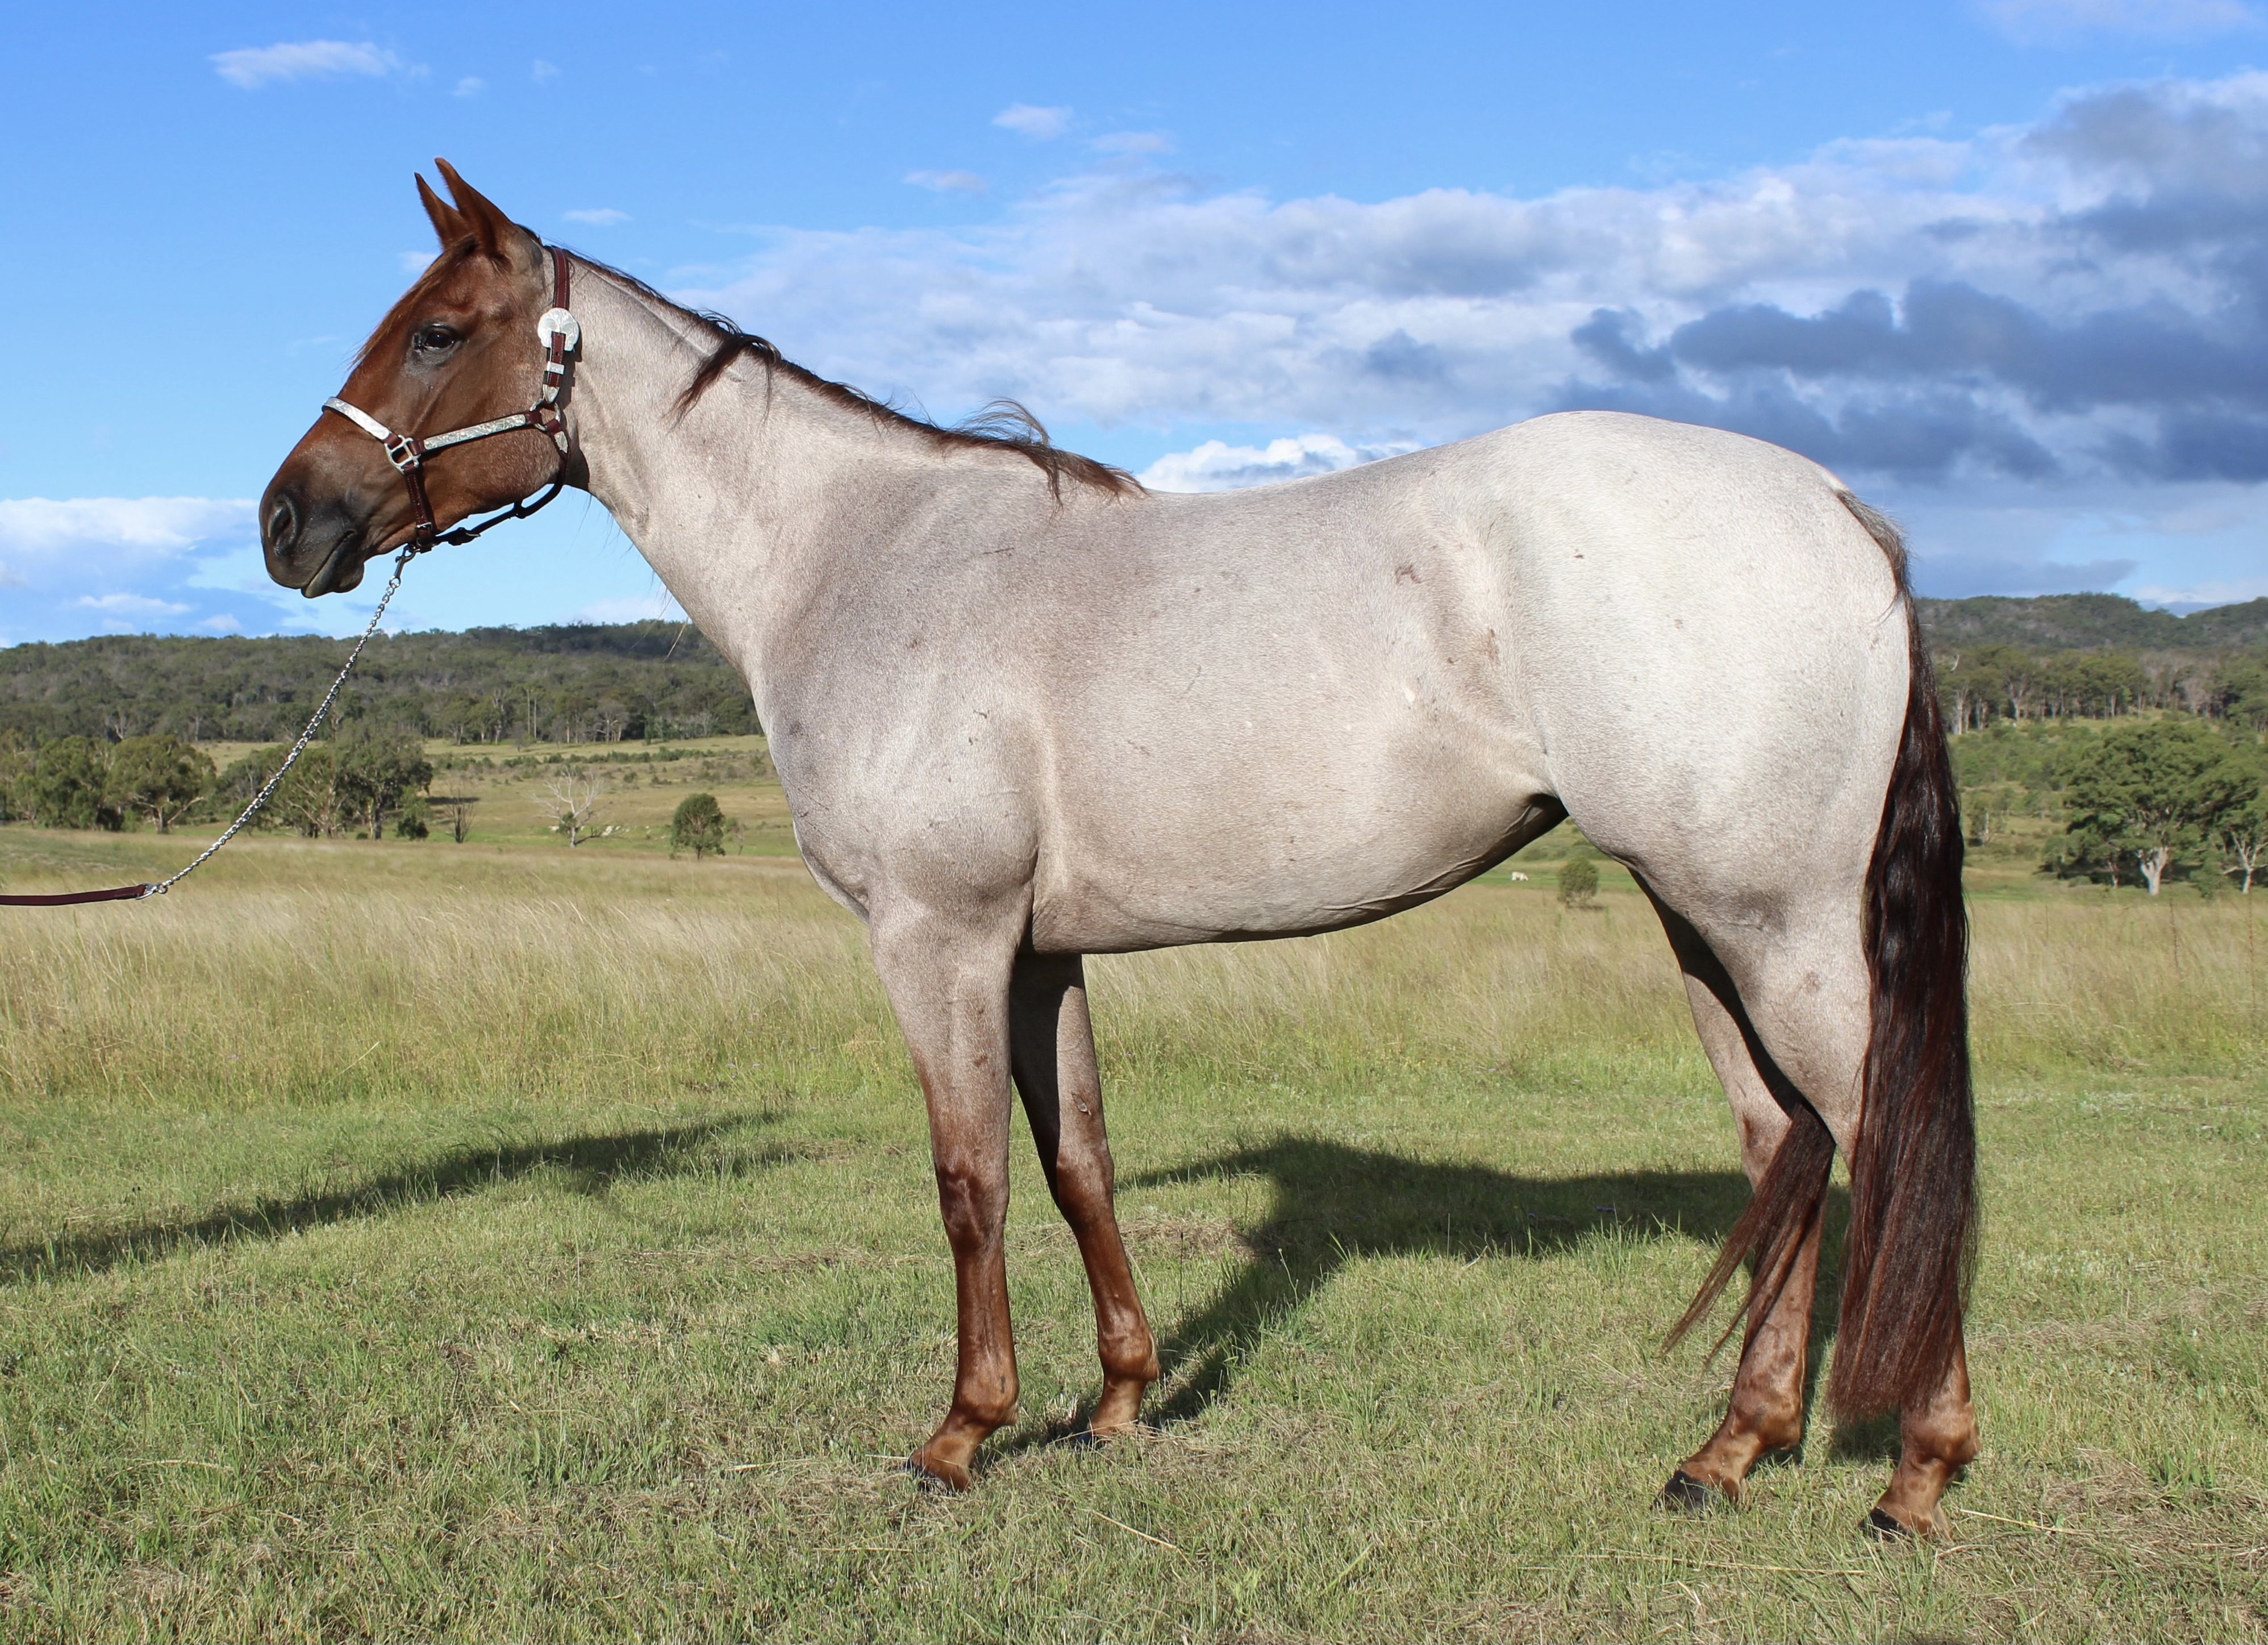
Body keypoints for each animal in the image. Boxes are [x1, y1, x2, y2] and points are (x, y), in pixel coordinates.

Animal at [259, 162, 1979, 1539]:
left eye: (434, 331)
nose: (289, 523)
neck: (863, 556)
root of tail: (1838, 505)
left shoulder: (939, 937)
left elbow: (968, 1175)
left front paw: (962, 1432)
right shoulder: (1042, 952)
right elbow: (1077, 1157)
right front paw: (1117, 1402)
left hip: (1777, 927)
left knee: (1882, 1138)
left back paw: (1918, 1470)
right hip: (1703, 925)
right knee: (1781, 1149)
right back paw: (1729, 1451)